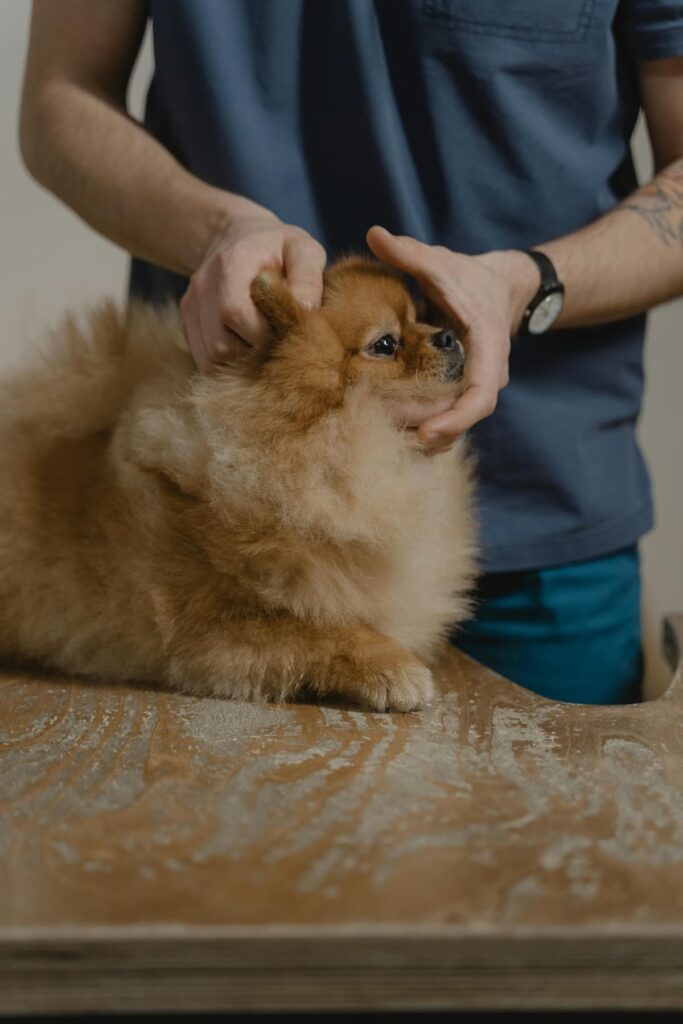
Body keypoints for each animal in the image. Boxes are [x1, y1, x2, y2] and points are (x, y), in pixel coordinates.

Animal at [0, 260, 479, 712]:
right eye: (385, 345)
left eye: (420, 318)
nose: (448, 335)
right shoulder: (216, 622)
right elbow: (327, 628)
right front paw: (394, 669)